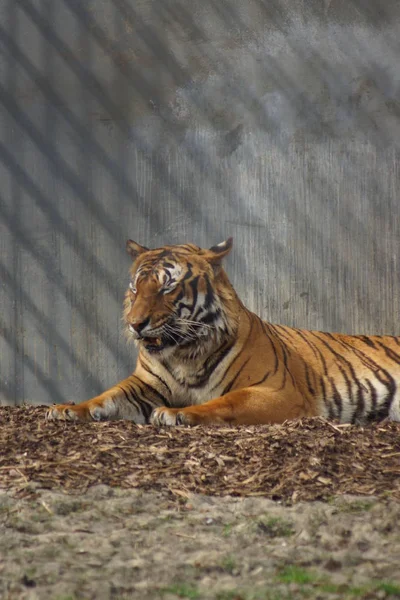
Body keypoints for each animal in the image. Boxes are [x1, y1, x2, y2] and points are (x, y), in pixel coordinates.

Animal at [45, 237, 400, 424]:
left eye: (167, 287)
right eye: (136, 287)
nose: (135, 323)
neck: (183, 354)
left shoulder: (277, 390)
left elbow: (225, 402)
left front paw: (176, 413)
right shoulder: (144, 383)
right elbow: (107, 395)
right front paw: (67, 409)